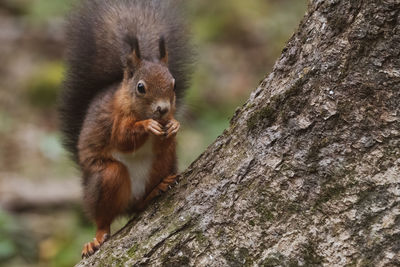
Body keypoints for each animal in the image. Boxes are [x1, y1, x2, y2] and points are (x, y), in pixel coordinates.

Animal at [57, 0, 192, 260]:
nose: (162, 109)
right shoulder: (115, 120)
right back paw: (96, 238)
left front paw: (174, 125)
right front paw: (147, 126)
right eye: (140, 87)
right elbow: (122, 139)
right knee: (103, 218)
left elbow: (166, 136)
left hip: (163, 162)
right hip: (106, 178)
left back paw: (156, 190)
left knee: (140, 203)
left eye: (173, 84)